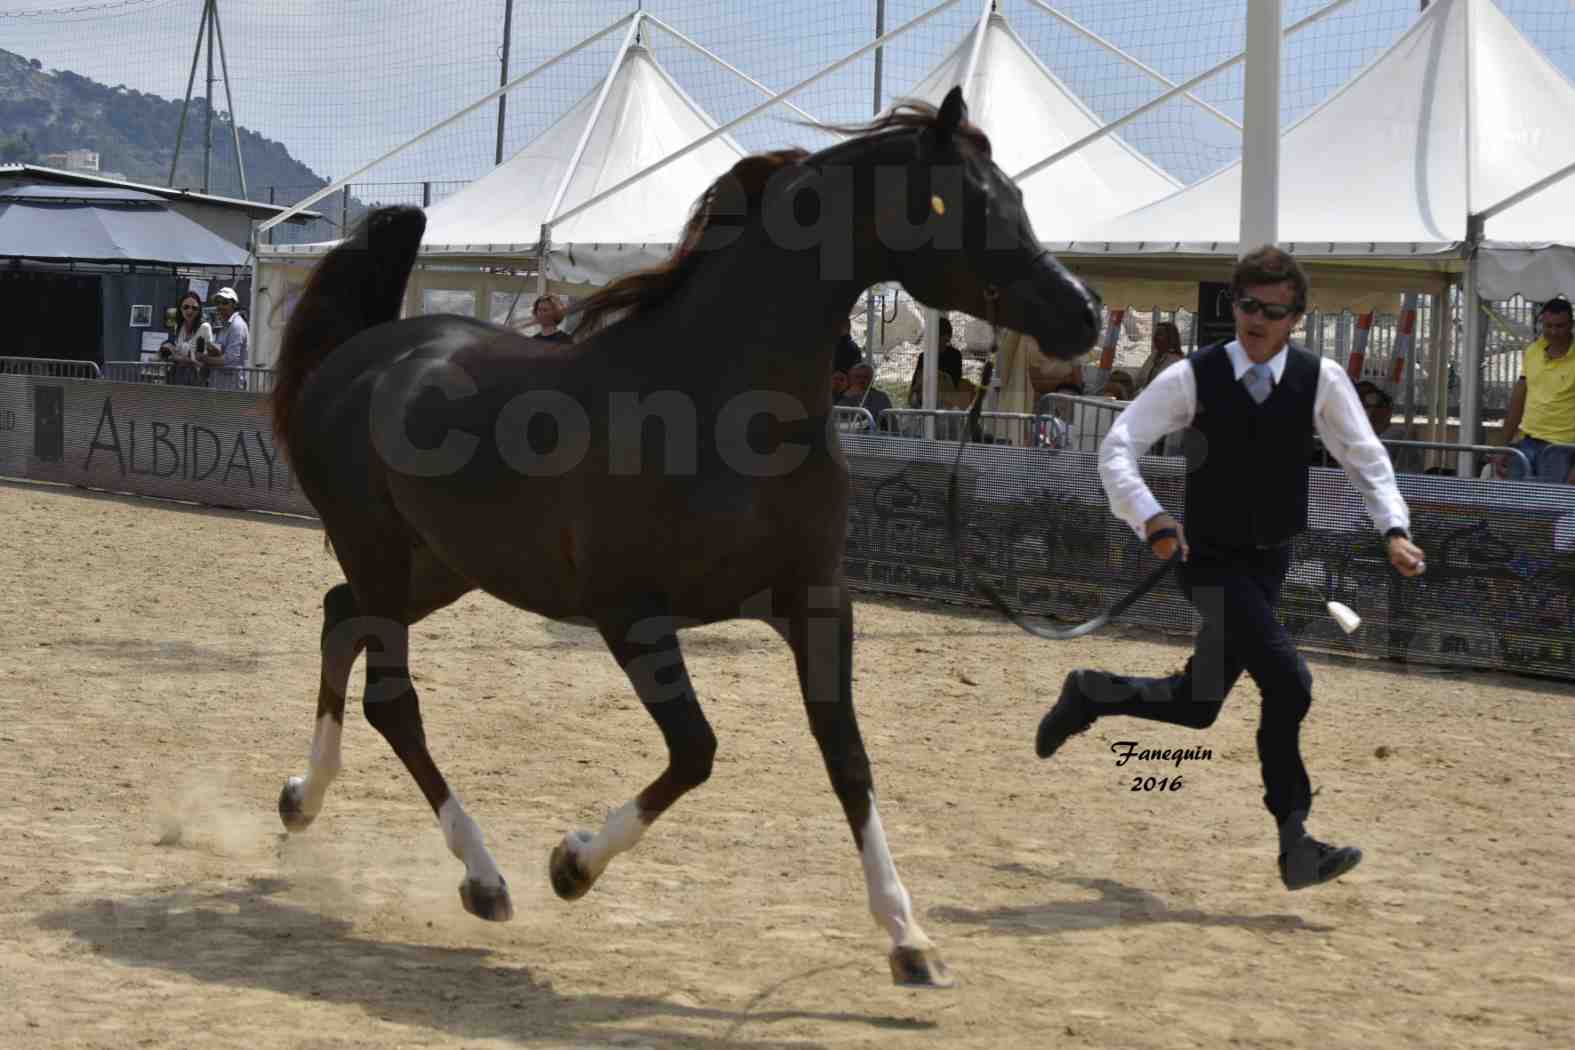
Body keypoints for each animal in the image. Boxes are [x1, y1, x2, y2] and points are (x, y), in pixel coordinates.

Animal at [267, 88, 1096, 988]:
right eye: (964, 203)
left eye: (1016, 194)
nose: (1082, 315)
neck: (721, 404)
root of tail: (359, 355)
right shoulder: (628, 613)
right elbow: (696, 749)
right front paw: (572, 863)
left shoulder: (814, 602)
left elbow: (846, 756)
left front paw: (909, 940)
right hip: (382, 551)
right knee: (391, 696)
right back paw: (483, 878)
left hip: (443, 565)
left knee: (337, 617)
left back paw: (301, 800)